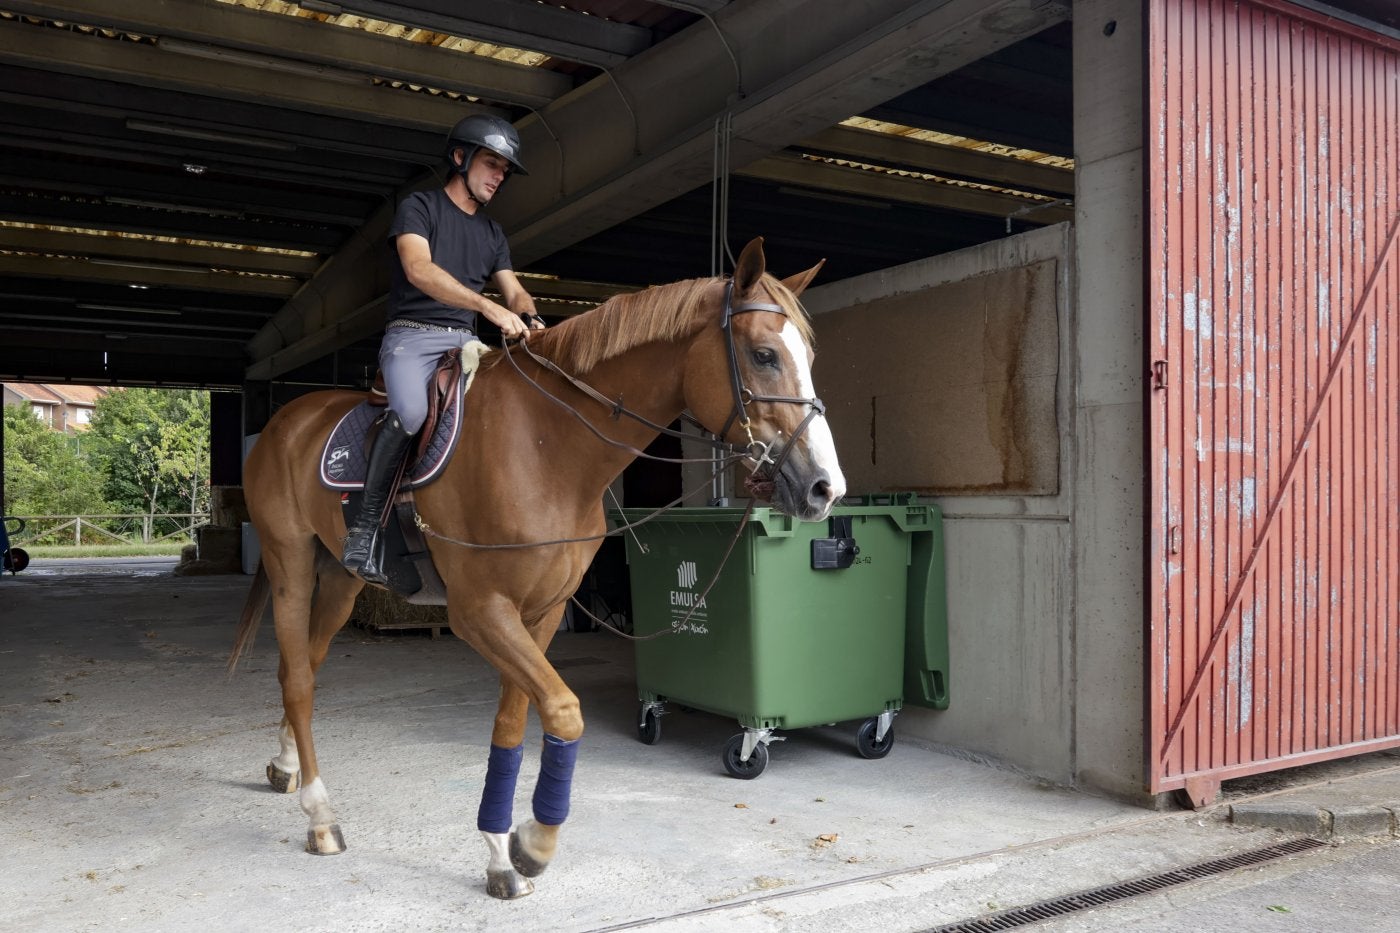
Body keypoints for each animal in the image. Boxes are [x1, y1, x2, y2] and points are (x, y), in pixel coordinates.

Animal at [232, 236, 840, 896]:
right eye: (763, 355)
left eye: (810, 355)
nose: (824, 488)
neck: (547, 446)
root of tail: (286, 420)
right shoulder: (480, 613)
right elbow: (565, 712)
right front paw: (535, 846)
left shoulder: (539, 613)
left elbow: (514, 722)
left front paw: (501, 853)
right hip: (290, 564)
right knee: (295, 676)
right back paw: (320, 816)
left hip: (343, 581)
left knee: (306, 670)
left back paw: (285, 765)